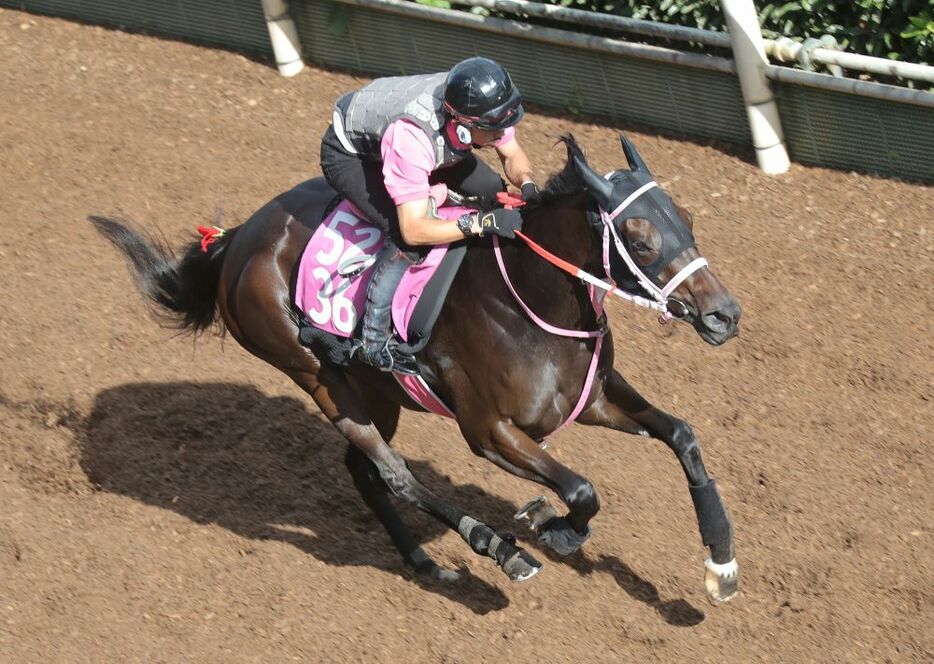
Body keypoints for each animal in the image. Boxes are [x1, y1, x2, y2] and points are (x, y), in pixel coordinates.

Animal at [89, 134, 744, 600]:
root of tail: (236, 239)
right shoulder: (490, 430)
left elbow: (682, 435)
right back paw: (495, 548)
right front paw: (549, 525)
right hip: (313, 373)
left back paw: (424, 561)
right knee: (394, 473)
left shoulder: (594, 397)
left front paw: (721, 563)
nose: (725, 315)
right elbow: (582, 489)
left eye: (686, 217)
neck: (528, 299)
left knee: (363, 470)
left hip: (374, 390)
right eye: (640, 236)